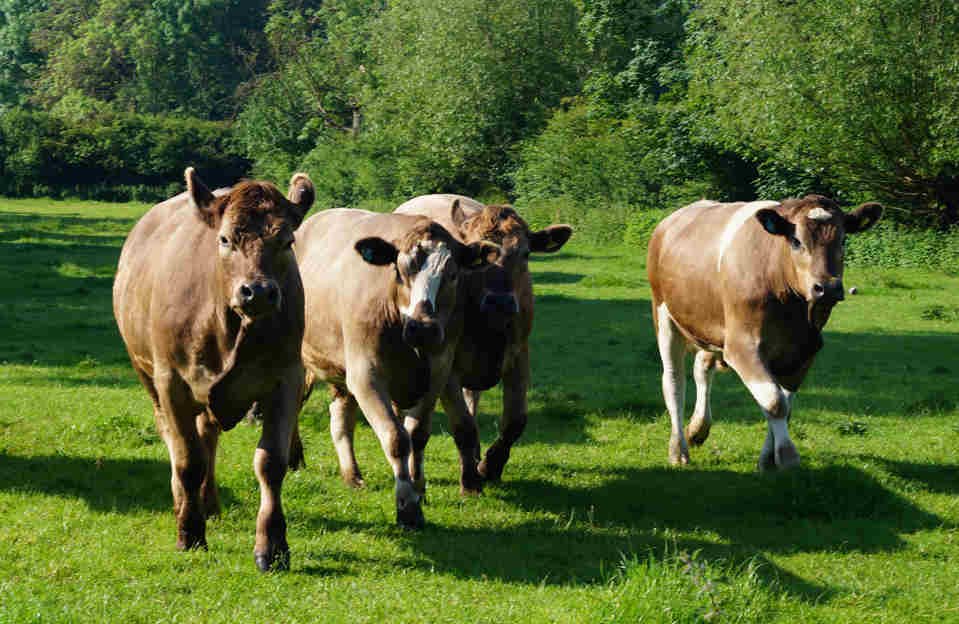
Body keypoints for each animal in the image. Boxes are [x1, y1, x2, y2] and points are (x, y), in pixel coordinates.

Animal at [113, 168, 315, 571]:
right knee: (175, 440)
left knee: (208, 436)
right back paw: (185, 502)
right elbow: (187, 460)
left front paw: (273, 545)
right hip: (147, 374)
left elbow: (271, 462)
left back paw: (209, 502)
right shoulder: (171, 383)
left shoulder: (287, 377)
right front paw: (189, 533)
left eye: (287, 240)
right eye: (225, 239)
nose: (258, 291)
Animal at [295, 206, 500, 528]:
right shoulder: (366, 375)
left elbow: (417, 434)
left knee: (341, 418)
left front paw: (417, 488)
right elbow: (396, 439)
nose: (422, 327)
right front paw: (407, 507)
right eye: (400, 271)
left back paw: (352, 474)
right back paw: (294, 458)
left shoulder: (438, 371)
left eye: (453, 274)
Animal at [395, 195, 572, 485]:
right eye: (483, 256)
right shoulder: (445, 362)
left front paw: (490, 466)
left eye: (525, 254)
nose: (499, 301)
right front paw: (470, 478)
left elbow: (515, 420)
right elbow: (462, 424)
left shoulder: (519, 354)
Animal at [646, 195, 882, 470]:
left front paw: (768, 459)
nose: (828, 288)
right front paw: (788, 457)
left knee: (702, 369)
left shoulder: (805, 351)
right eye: (796, 241)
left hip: (712, 325)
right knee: (674, 381)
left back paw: (697, 429)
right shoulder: (742, 346)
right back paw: (678, 449)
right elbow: (775, 401)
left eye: (843, 239)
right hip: (664, 314)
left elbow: (785, 406)